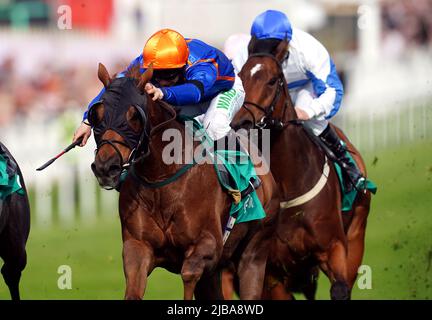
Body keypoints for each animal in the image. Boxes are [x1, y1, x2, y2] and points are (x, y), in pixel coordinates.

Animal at [89, 63, 278, 300]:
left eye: (134, 116)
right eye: (97, 114)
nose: (106, 166)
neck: (161, 179)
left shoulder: (207, 246)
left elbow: (188, 275)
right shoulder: (137, 246)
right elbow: (133, 289)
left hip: (254, 251)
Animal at [231, 40, 372, 300]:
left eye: (272, 80)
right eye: (241, 77)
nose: (241, 122)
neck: (290, 182)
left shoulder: (334, 246)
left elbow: (340, 289)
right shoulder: (272, 271)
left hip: (357, 231)